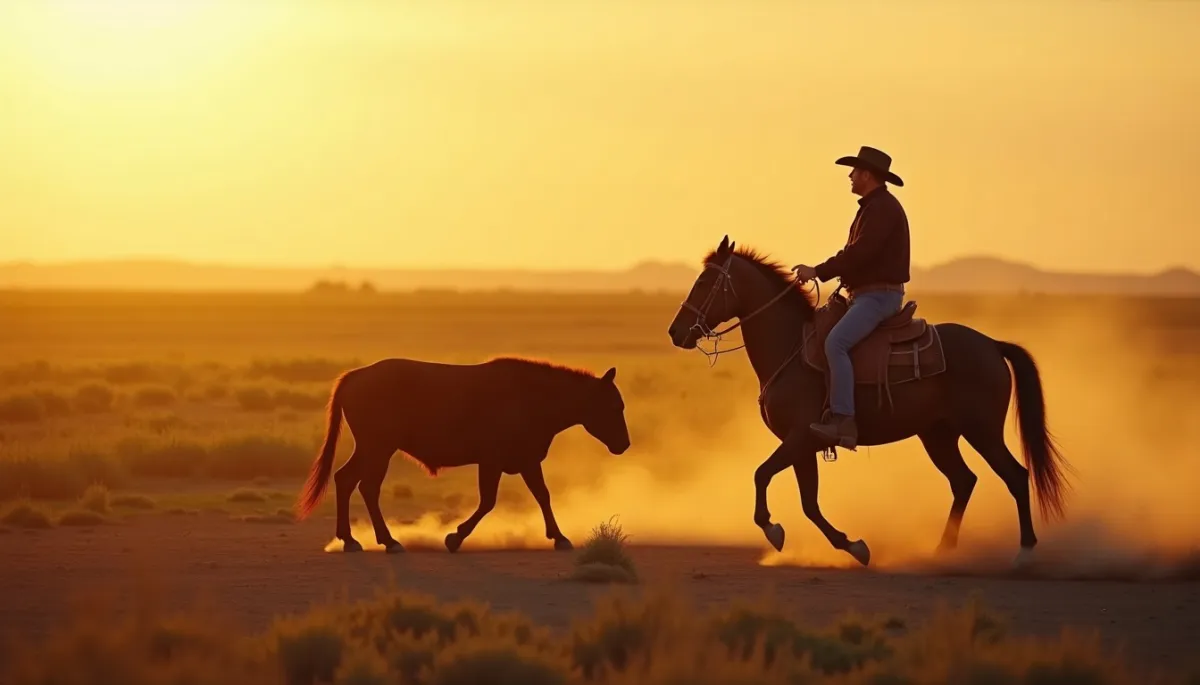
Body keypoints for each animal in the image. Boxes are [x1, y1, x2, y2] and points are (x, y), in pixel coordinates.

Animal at [294, 356, 631, 553]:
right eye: (615, 407)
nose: (624, 444)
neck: (534, 396)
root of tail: (353, 377)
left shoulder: (527, 460)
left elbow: (542, 495)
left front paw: (559, 537)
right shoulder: (492, 461)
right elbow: (488, 502)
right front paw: (454, 537)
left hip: (371, 449)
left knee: (346, 480)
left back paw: (351, 540)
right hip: (378, 448)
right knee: (366, 487)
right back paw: (387, 541)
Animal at [666, 235, 1073, 568]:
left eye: (704, 282)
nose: (675, 332)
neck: (791, 349)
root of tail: (992, 345)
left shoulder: (800, 438)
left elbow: (763, 476)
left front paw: (775, 530)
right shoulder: (803, 446)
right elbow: (808, 502)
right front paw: (853, 546)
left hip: (982, 431)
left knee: (1015, 476)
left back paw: (1024, 554)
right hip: (938, 436)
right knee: (964, 482)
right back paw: (942, 550)